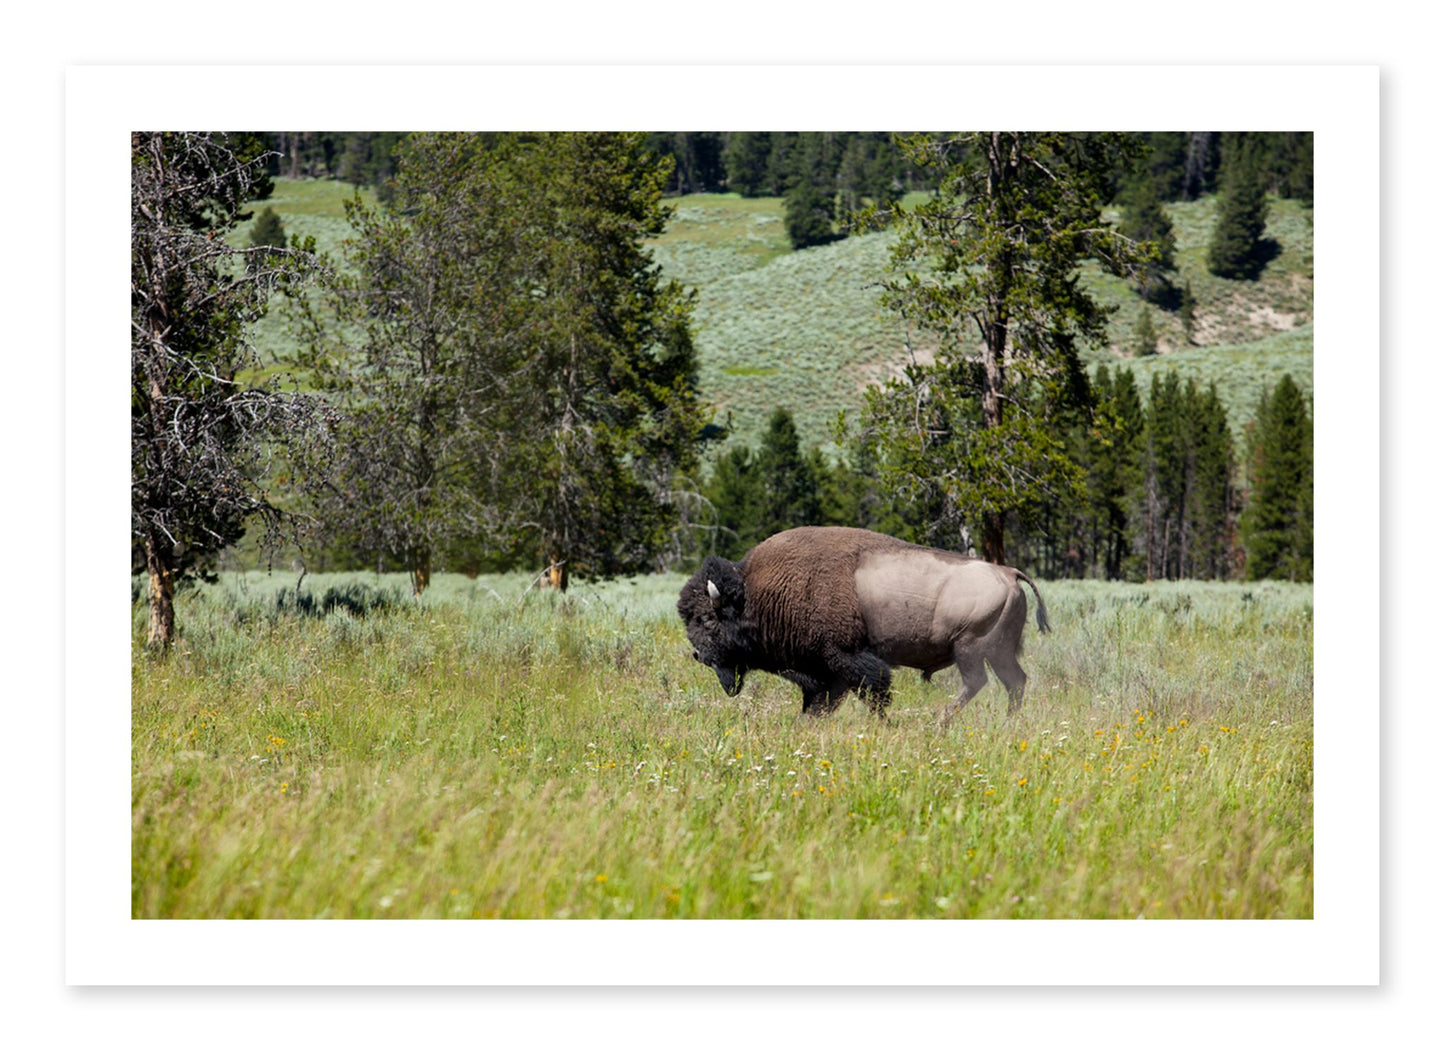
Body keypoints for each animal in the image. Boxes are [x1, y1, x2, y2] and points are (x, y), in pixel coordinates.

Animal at [677, 526, 1050, 718]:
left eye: (706, 619)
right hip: (998, 652)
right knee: (1014, 682)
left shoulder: (846, 659)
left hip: (970, 648)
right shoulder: (825, 673)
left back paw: (939, 722)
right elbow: (819, 704)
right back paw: (1007, 722)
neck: (756, 593)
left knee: (977, 682)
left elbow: (873, 692)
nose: (698, 655)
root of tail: (1008, 572)